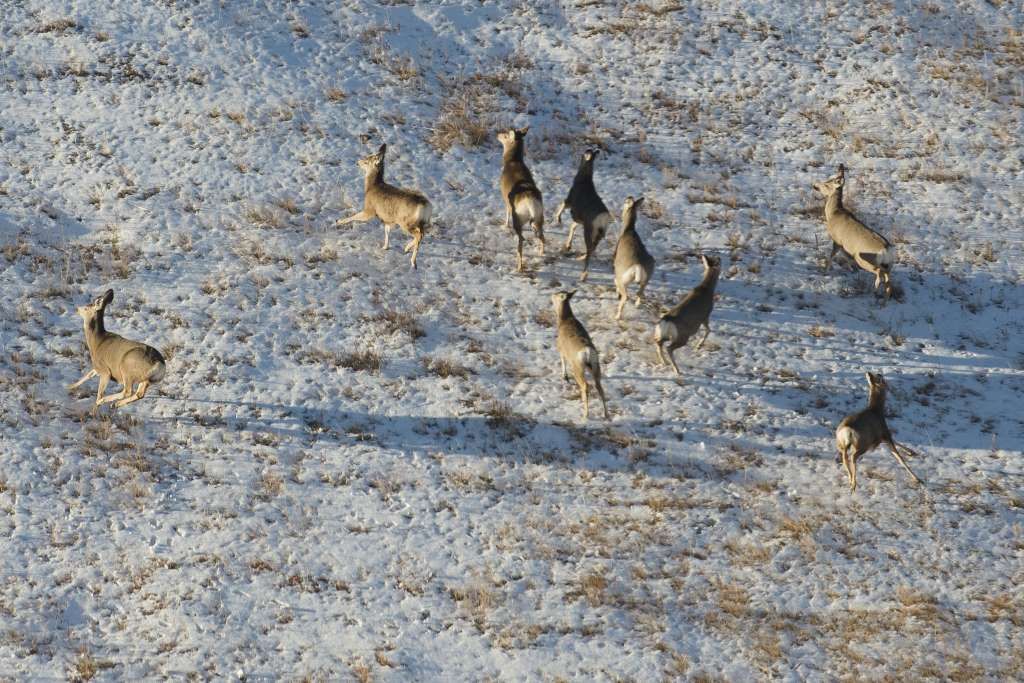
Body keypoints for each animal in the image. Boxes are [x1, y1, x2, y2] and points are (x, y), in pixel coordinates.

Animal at [497, 127, 545, 272]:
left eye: (506, 136)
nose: (497, 134)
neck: (512, 162)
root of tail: (530, 203)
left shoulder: (505, 199)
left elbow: (506, 212)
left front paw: (504, 225)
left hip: (518, 219)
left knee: (521, 240)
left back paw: (519, 266)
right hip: (540, 217)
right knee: (542, 236)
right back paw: (541, 253)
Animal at [551, 291, 609, 421]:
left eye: (558, 294)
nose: (551, 296)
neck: (565, 320)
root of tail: (587, 352)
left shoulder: (561, 350)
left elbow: (563, 361)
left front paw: (565, 377)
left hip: (578, 370)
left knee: (585, 386)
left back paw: (585, 414)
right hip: (596, 368)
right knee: (600, 388)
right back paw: (606, 415)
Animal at [554, 149, 613, 281]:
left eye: (586, 151)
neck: (583, 180)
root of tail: (603, 218)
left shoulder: (569, 201)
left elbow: (561, 205)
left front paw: (558, 220)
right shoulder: (579, 218)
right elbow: (572, 227)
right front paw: (568, 245)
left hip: (589, 231)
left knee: (590, 249)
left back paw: (583, 275)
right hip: (598, 234)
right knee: (592, 248)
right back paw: (581, 258)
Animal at [812, 164, 895, 299]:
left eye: (827, 184)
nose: (815, 185)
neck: (833, 214)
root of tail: (886, 250)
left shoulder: (837, 240)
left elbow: (832, 256)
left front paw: (824, 271)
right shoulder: (845, 246)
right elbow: (846, 257)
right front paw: (851, 269)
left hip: (863, 259)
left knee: (879, 273)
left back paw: (875, 287)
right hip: (889, 265)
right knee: (888, 281)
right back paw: (883, 299)